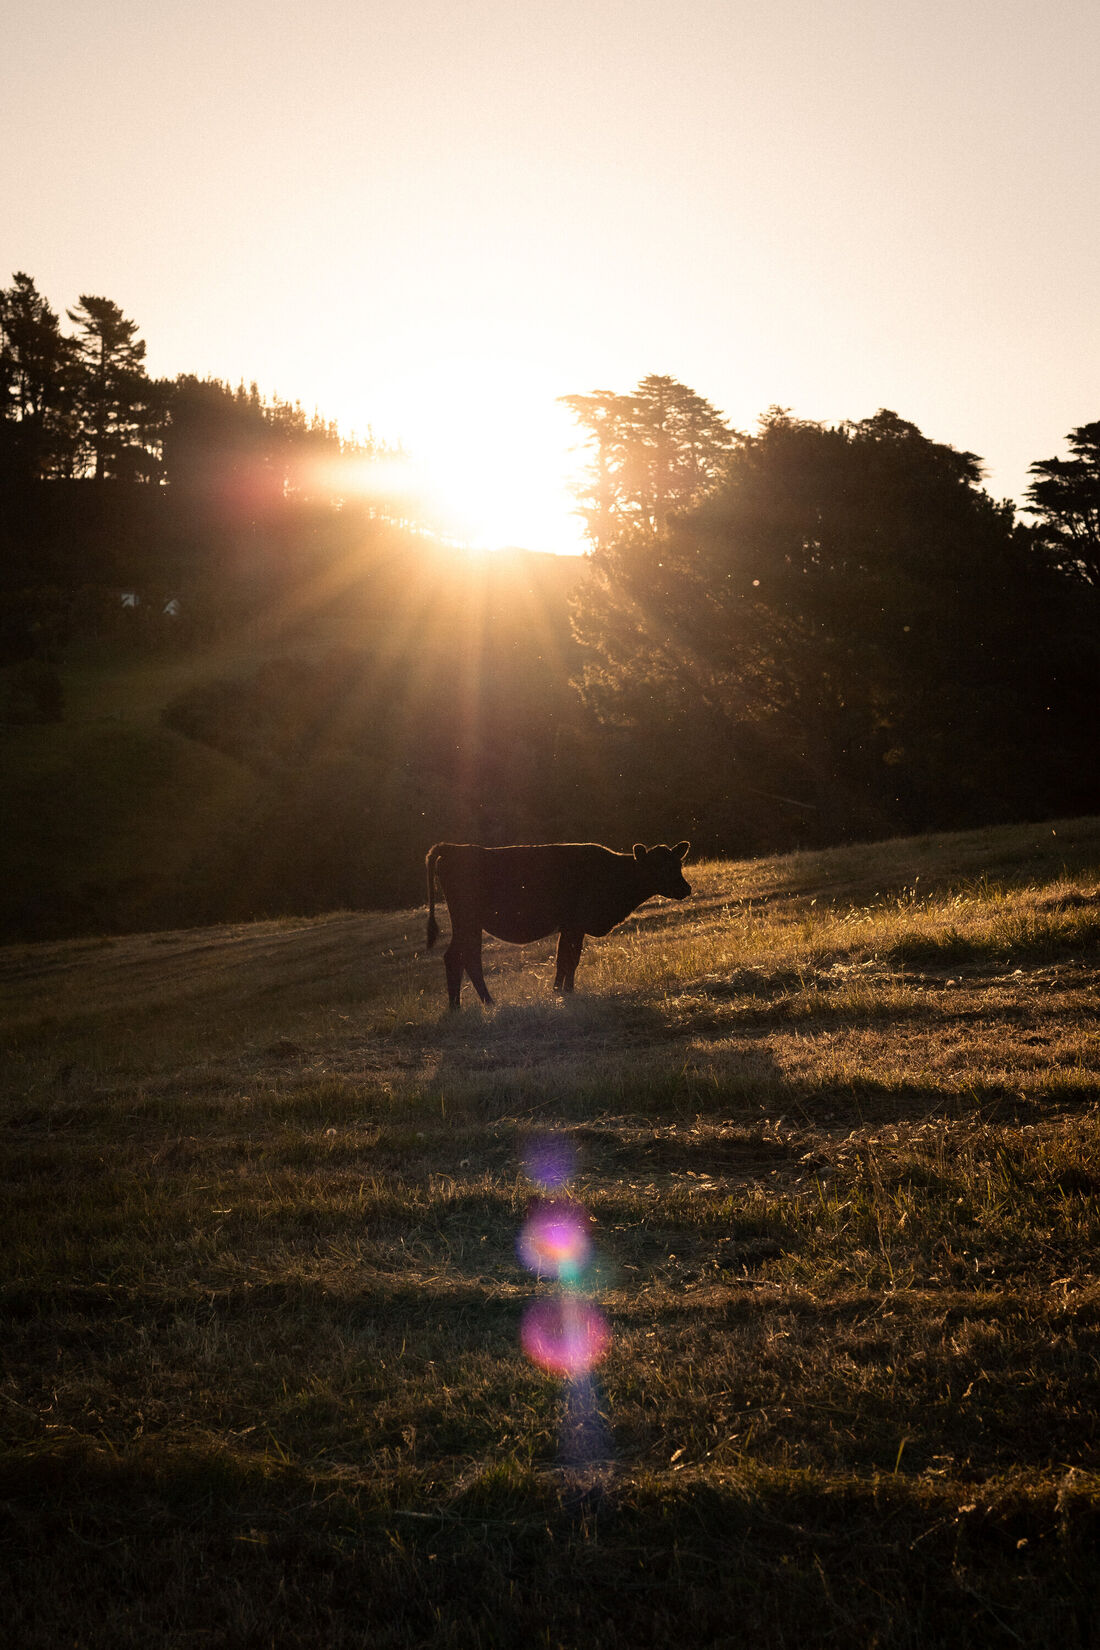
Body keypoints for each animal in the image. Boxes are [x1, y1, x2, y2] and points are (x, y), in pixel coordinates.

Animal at [425, 840, 691, 1008]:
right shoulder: (574, 925)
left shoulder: (572, 928)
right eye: (657, 866)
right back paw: (477, 1004)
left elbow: (569, 959)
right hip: (467, 921)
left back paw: (463, 1005)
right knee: (461, 956)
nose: (686, 888)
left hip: (470, 924)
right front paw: (560, 993)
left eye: (678, 864)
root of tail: (453, 849)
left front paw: (566, 992)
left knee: (462, 957)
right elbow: (566, 960)